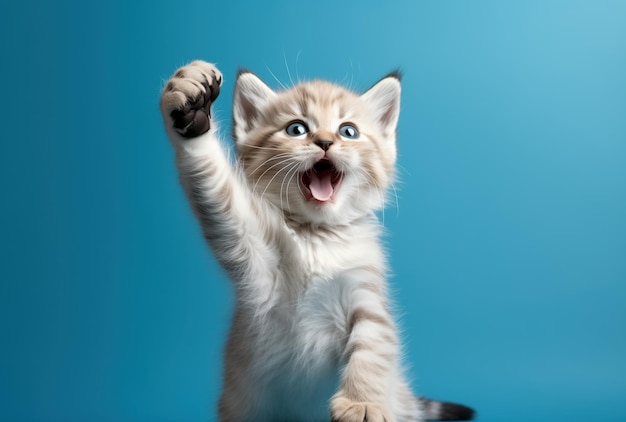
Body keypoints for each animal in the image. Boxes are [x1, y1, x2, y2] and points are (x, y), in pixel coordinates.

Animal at [158, 60, 470, 422]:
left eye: (348, 131)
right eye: (296, 129)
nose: (324, 142)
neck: (318, 236)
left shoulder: (366, 292)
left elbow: (373, 344)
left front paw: (361, 403)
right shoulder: (246, 238)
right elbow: (215, 187)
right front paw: (189, 102)